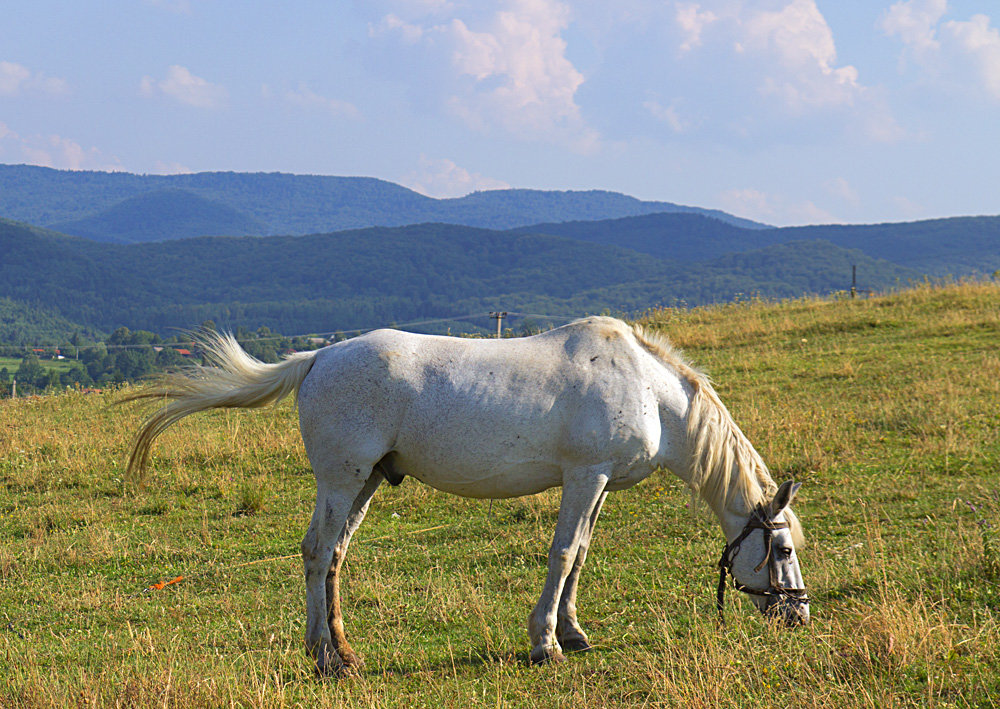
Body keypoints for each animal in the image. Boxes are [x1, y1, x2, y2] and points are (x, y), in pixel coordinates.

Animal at [127, 316, 812, 676]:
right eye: (781, 551)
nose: (799, 616)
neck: (649, 390)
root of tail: (318, 358)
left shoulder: (598, 484)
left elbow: (582, 555)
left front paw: (574, 632)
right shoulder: (584, 476)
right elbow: (564, 554)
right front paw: (544, 643)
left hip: (367, 480)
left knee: (334, 554)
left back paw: (338, 650)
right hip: (342, 478)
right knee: (319, 552)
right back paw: (328, 658)